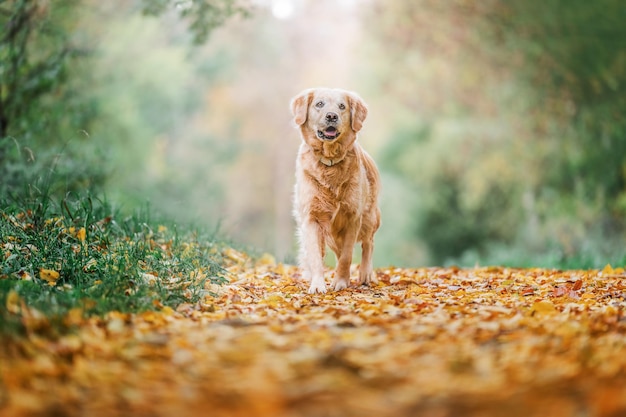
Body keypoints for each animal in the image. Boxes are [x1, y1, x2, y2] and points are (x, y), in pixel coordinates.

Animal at [288, 87, 380, 292]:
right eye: (319, 104)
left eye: (342, 106)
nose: (331, 116)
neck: (329, 162)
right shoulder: (311, 218)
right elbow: (316, 256)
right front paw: (317, 285)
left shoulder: (353, 217)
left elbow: (347, 256)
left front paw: (341, 282)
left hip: (369, 217)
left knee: (368, 243)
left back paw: (365, 275)